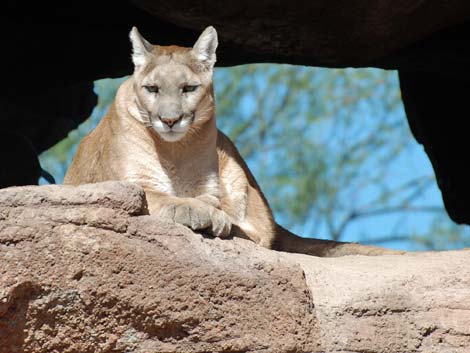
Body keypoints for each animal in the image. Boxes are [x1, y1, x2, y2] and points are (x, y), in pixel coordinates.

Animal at [64, 25, 398, 256]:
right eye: (152, 89)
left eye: (188, 88)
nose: (170, 120)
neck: (175, 151)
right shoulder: (133, 181)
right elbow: (156, 195)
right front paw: (194, 209)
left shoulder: (212, 183)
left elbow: (213, 202)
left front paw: (208, 211)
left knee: (258, 232)